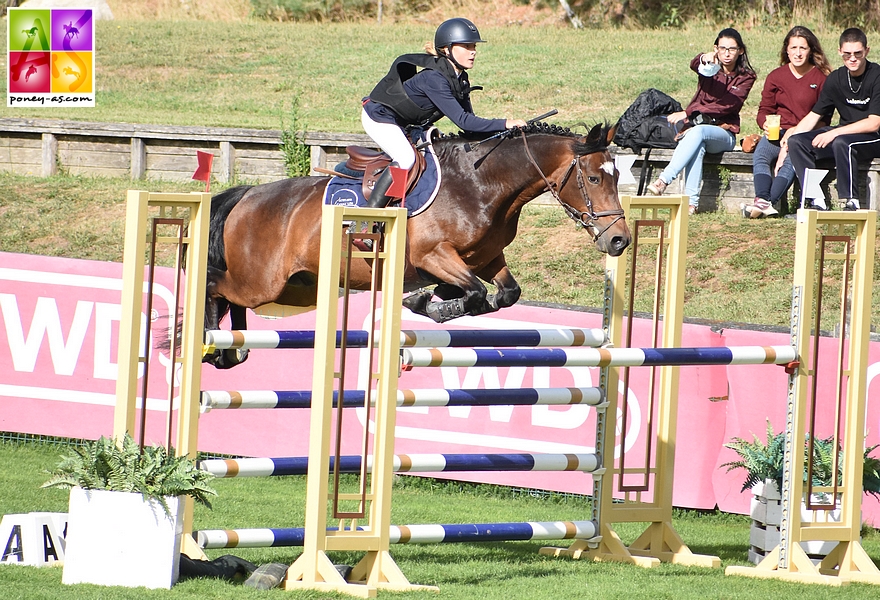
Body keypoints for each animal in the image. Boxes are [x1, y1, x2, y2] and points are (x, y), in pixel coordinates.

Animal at [205, 121, 632, 368]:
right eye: (595, 178)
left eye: (616, 176)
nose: (619, 240)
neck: (481, 183)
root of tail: (246, 196)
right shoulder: (434, 255)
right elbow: (475, 293)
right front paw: (427, 302)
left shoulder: (487, 257)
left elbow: (505, 293)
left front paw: (433, 300)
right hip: (262, 282)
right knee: (215, 285)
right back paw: (215, 346)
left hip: (293, 288)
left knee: (231, 298)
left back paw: (233, 349)